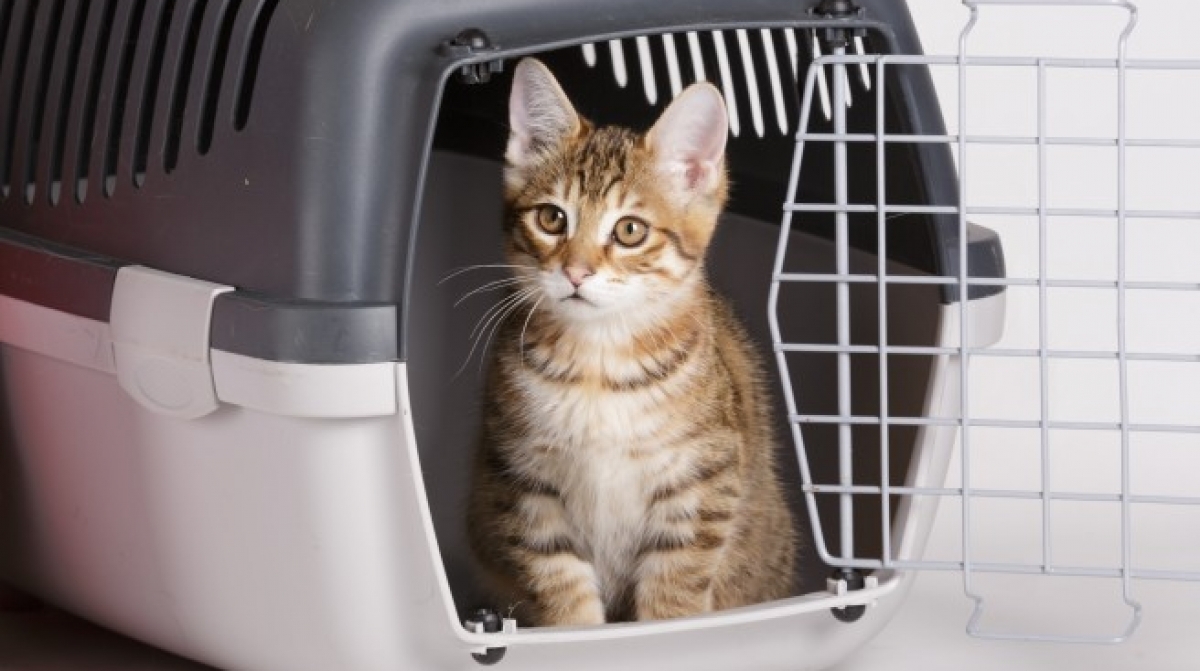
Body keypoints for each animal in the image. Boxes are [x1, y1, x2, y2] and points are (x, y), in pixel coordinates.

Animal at [465, 57, 797, 627]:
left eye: (630, 231)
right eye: (551, 218)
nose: (576, 272)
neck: (597, 365)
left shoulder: (703, 484)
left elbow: (674, 593)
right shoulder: (523, 484)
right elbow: (561, 587)